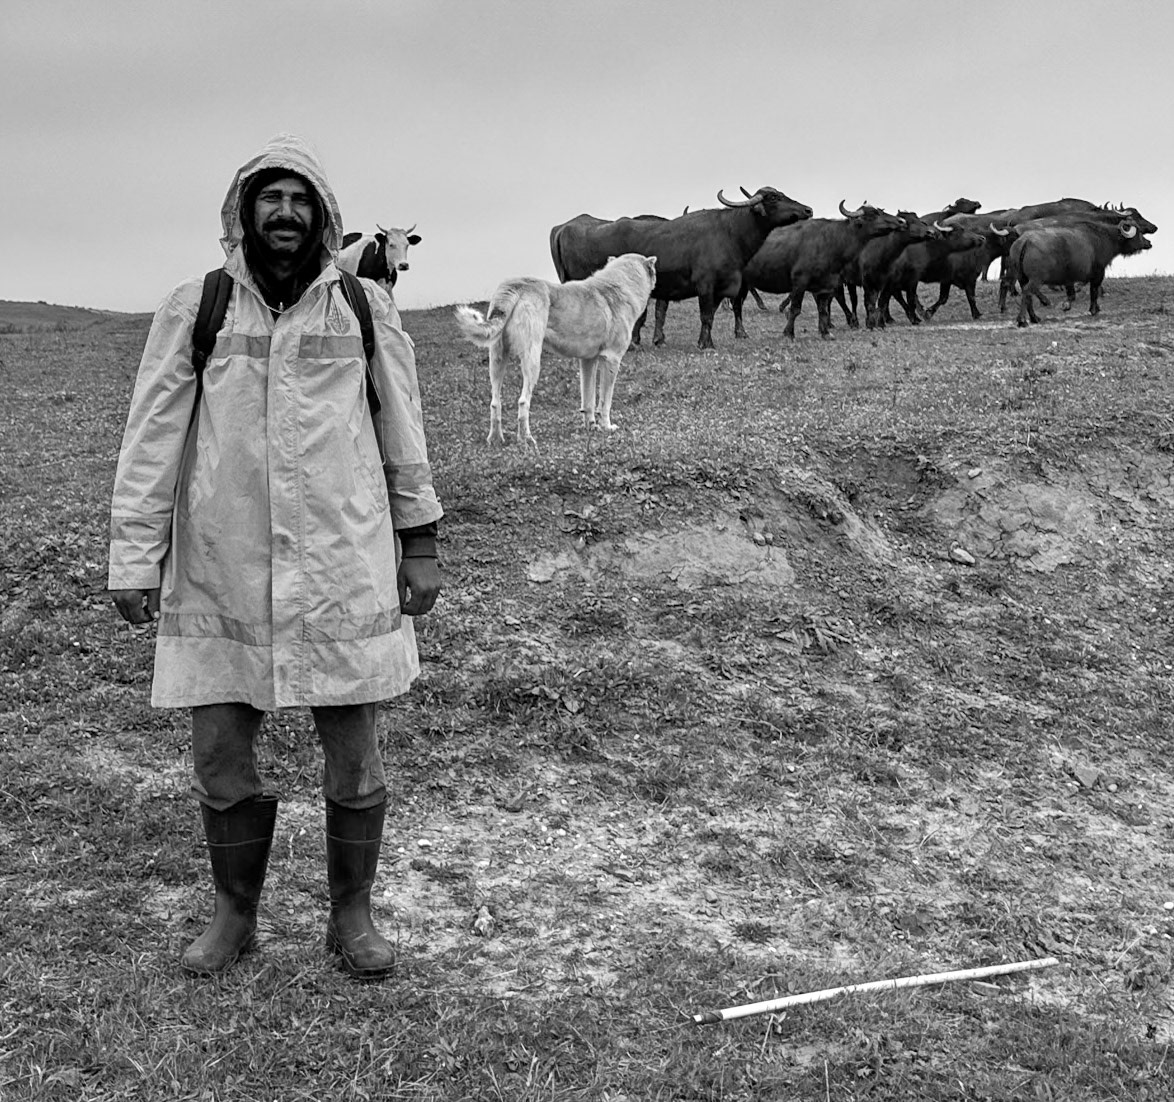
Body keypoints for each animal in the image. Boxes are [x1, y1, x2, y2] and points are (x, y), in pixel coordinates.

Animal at [549, 186, 812, 350]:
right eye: (773, 197)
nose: (807, 209)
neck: (729, 233)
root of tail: (563, 228)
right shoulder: (705, 285)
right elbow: (705, 315)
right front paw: (706, 345)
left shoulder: (722, 288)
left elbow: (711, 315)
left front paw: (703, 341)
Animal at [735, 202, 907, 339]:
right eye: (874, 214)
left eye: (880, 210)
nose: (901, 221)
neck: (832, 241)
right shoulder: (800, 281)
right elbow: (795, 309)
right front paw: (788, 333)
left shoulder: (826, 285)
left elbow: (823, 309)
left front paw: (826, 333)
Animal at [1008, 219, 1151, 326]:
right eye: (1138, 232)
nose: (1148, 243)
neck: (1103, 239)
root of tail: (1025, 241)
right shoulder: (1098, 273)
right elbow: (1094, 291)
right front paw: (1094, 309)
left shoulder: (1069, 278)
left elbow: (1073, 293)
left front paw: (1067, 305)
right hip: (1036, 279)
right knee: (1027, 292)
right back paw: (1022, 320)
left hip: (1022, 278)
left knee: (1027, 295)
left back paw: (1034, 318)